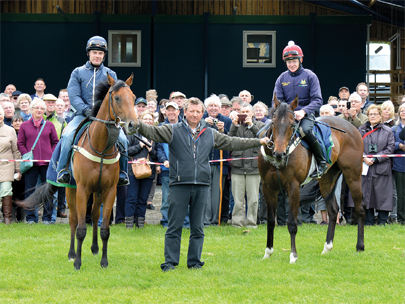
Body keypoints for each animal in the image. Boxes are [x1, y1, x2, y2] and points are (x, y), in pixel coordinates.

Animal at [20, 74, 137, 270]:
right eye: (117, 98)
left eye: (134, 97)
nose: (133, 125)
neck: (101, 147)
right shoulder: (82, 189)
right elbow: (81, 228)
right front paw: (77, 262)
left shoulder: (109, 190)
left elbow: (105, 229)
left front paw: (104, 261)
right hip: (70, 189)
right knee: (74, 220)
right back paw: (71, 253)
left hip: (97, 192)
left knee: (95, 215)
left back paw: (95, 248)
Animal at [258, 96, 366, 262]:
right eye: (273, 123)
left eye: (292, 125)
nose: (279, 153)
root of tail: (352, 127)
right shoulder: (268, 187)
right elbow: (270, 221)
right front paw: (268, 252)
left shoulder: (293, 187)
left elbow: (292, 223)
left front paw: (293, 255)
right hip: (327, 179)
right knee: (333, 211)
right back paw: (327, 247)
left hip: (353, 176)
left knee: (360, 208)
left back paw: (360, 246)